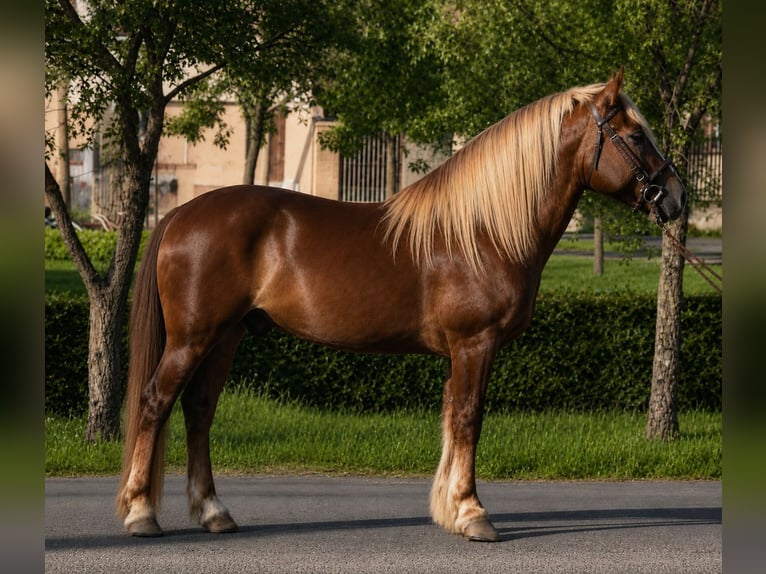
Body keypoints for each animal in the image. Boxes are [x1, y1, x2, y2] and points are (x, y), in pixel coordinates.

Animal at [116, 69, 686, 542]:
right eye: (637, 135)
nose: (678, 197)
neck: (484, 229)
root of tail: (180, 214)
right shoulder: (474, 344)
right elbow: (469, 418)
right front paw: (473, 514)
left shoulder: (462, 352)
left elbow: (452, 416)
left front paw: (451, 510)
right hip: (193, 339)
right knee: (155, 402)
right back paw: (141, 513)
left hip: (226, 337)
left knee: (198, 410)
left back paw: (214, 512)